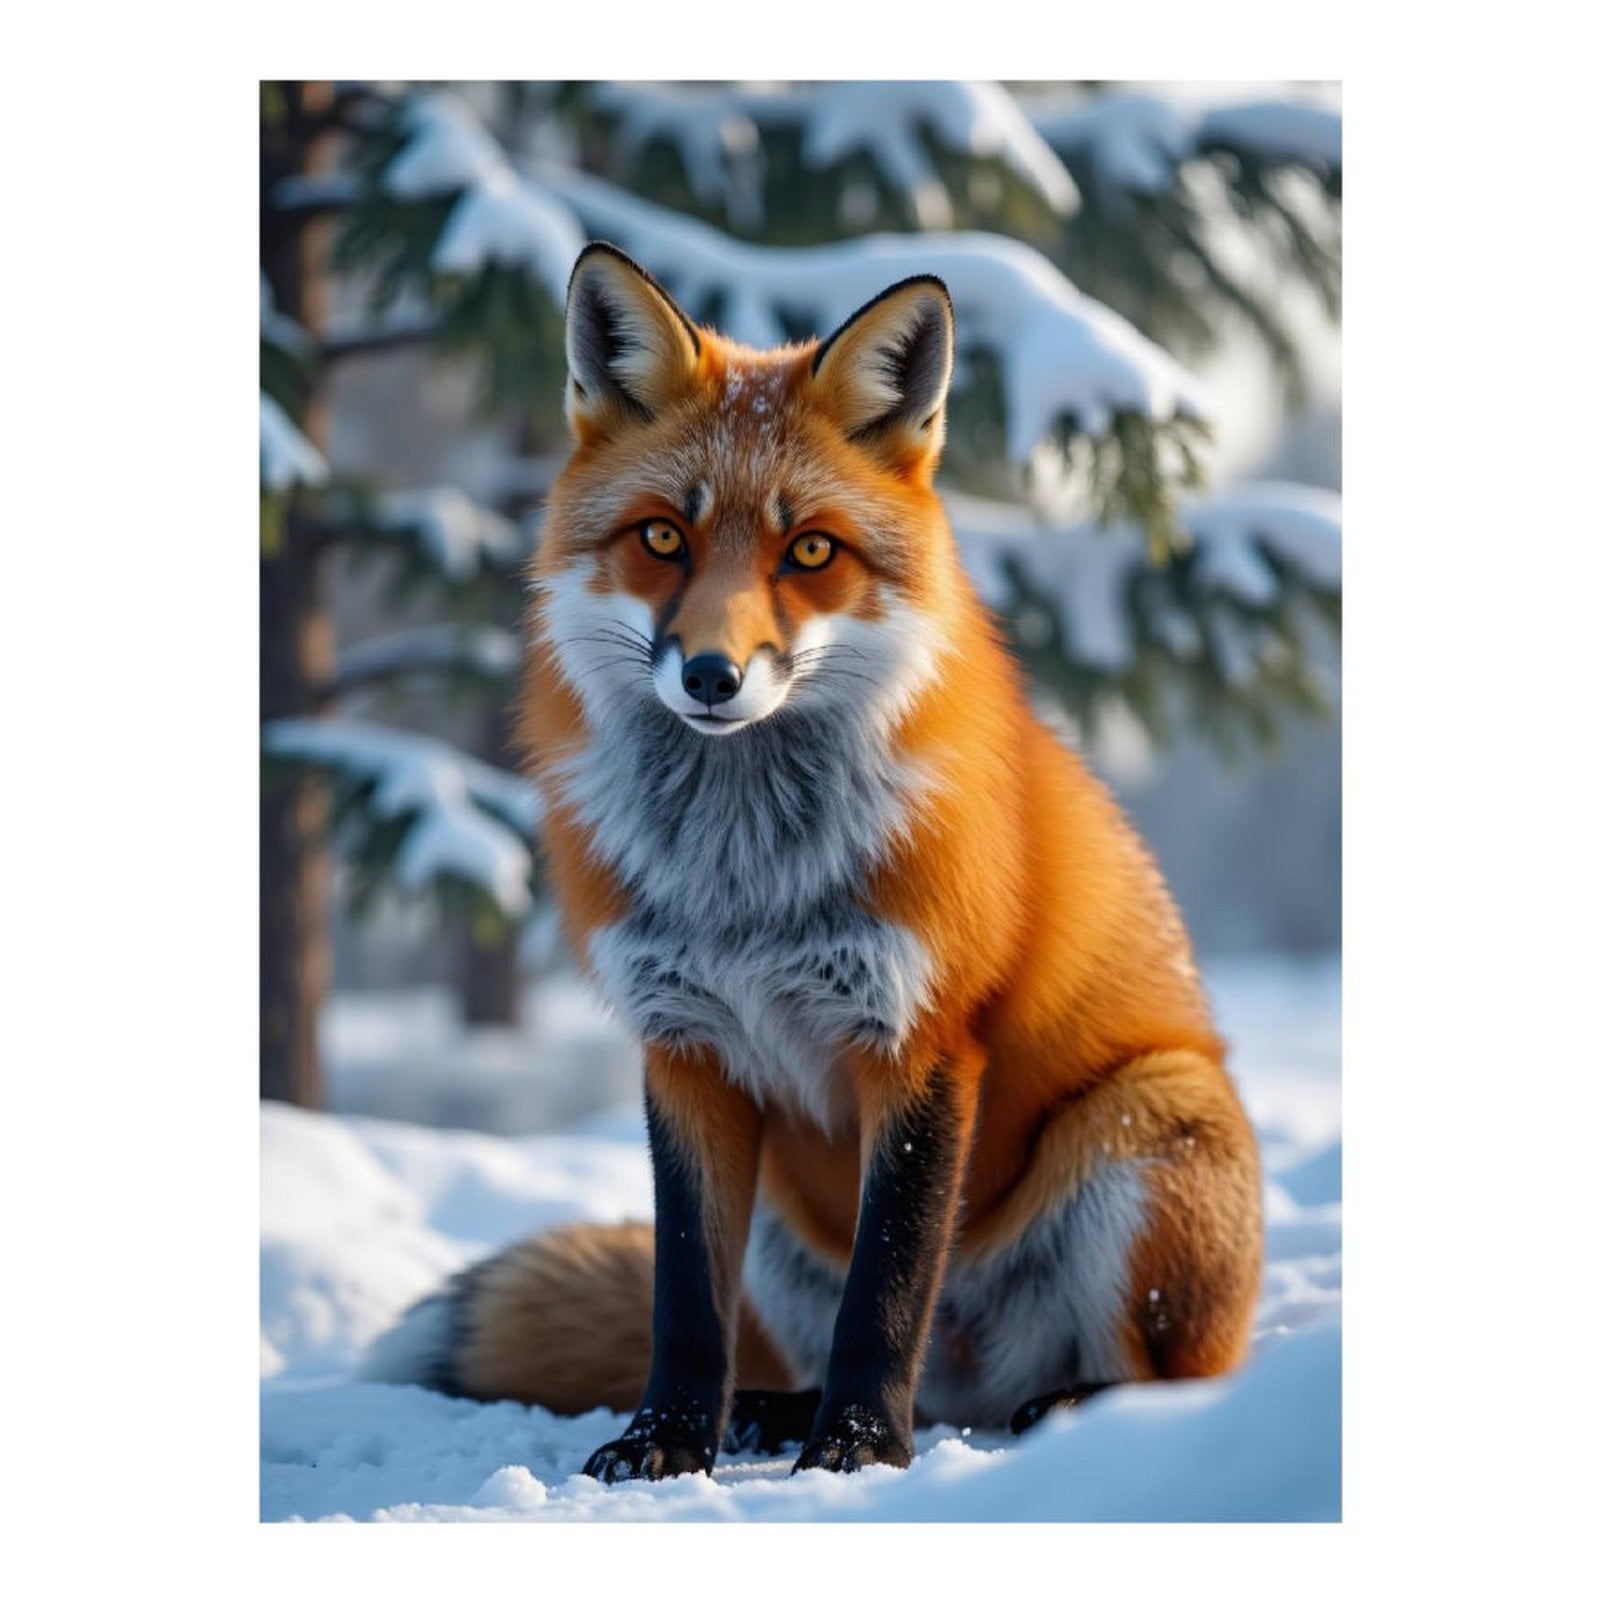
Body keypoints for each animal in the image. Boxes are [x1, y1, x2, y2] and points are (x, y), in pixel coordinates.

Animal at [364, 242, 1263, 1480]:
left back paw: (1051, 1412)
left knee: (1155, 1380)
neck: (745, 883)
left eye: (810, 552)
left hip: (1136, 1129)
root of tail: (971, 1384)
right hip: (790, 1230)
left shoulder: (922, 1042)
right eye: (662, 537)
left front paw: (856, 1449)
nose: (710, 675)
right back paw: (770, 1412)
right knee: (813, 1349)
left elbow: (884, 1292)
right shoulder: (683, 1047)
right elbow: (685, 1301)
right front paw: (665, 1440)